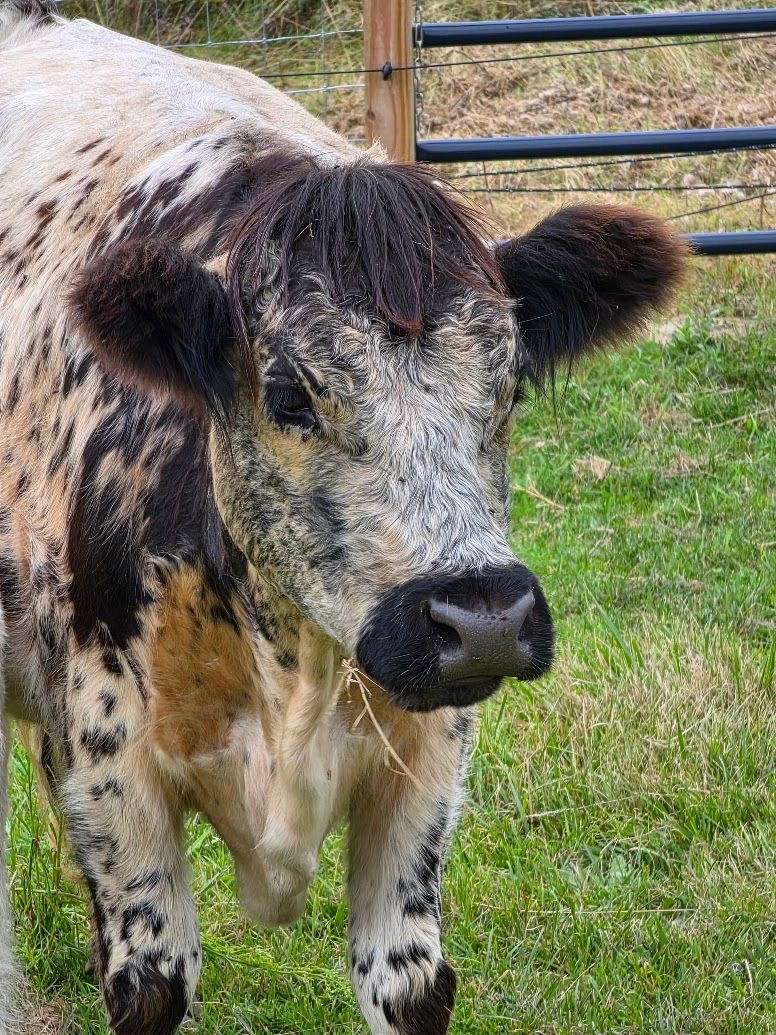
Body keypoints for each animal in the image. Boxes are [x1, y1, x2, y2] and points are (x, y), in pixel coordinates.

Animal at [0, 1, 687, 1032]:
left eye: (512, 380)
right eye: (290, 394)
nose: (484, 618)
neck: (292, 673)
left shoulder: (427, 771)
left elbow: (408, 983)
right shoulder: (106, 765)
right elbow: (152, 984)